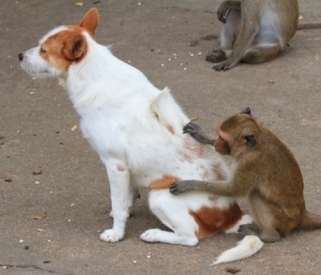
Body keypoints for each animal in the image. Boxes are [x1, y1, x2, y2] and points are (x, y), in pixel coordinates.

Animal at [18, 7, 262, 264]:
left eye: (44, 50)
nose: (20, 55)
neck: (94, 76)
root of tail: (233, 214)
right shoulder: (125, 170)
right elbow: (124, 199)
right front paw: (123, 210)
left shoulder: (115, 165)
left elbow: (118, 204)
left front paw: (116, 233)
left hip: (160, 198)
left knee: (190, 237)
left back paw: (154, 234)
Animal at [169, 108, 320, 244]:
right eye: (219, 135)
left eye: (223, 139)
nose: (217, 144)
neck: (253, 144)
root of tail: (301, 213)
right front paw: (203, 135)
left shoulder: (250, 164)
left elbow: (234, 190)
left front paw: (189, 184)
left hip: (283, 221)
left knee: (254, 194)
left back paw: (269, 236)